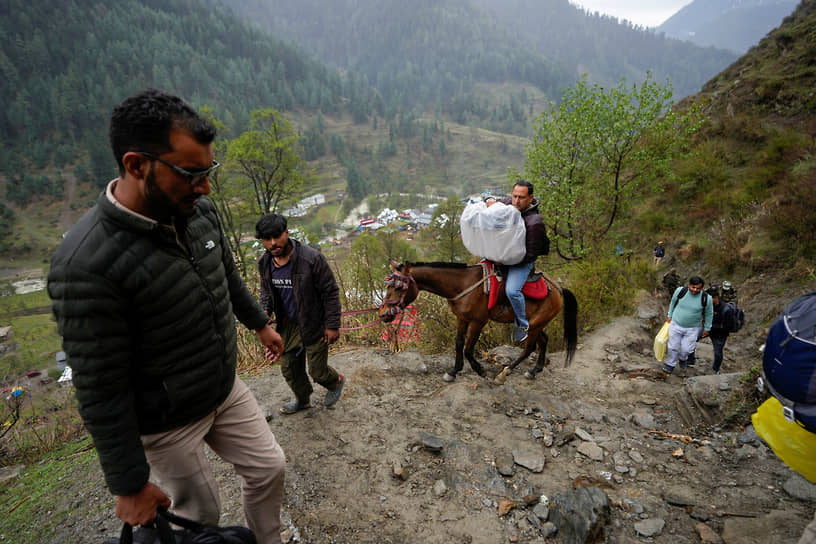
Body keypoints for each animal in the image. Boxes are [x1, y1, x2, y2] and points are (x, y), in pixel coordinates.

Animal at [380, 262, 576, 382]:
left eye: (399, 288)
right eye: (387, 286)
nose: (383, 314)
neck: (462, 284)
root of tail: (558, 288)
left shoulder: (478, 321)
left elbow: (468, 348)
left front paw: (480, 370)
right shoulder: (462, 318)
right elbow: (459, 343)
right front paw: (453, 371)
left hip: (534, 325)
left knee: (529, 348)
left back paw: (505, 373)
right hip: (535, 323)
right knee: (543, 341)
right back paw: (535, 370)